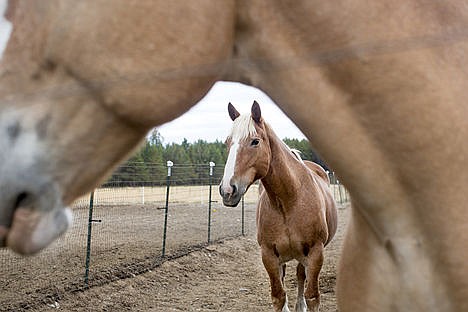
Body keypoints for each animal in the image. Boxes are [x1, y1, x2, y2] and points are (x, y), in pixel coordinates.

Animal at [219, 101, 336, 310]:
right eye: (227, 142)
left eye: (255, 142)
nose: (227, 190)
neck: (289, 201)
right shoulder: (268, 255)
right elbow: (278, 296)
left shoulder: (316, 253)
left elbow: (312, 296)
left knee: (300, 275)